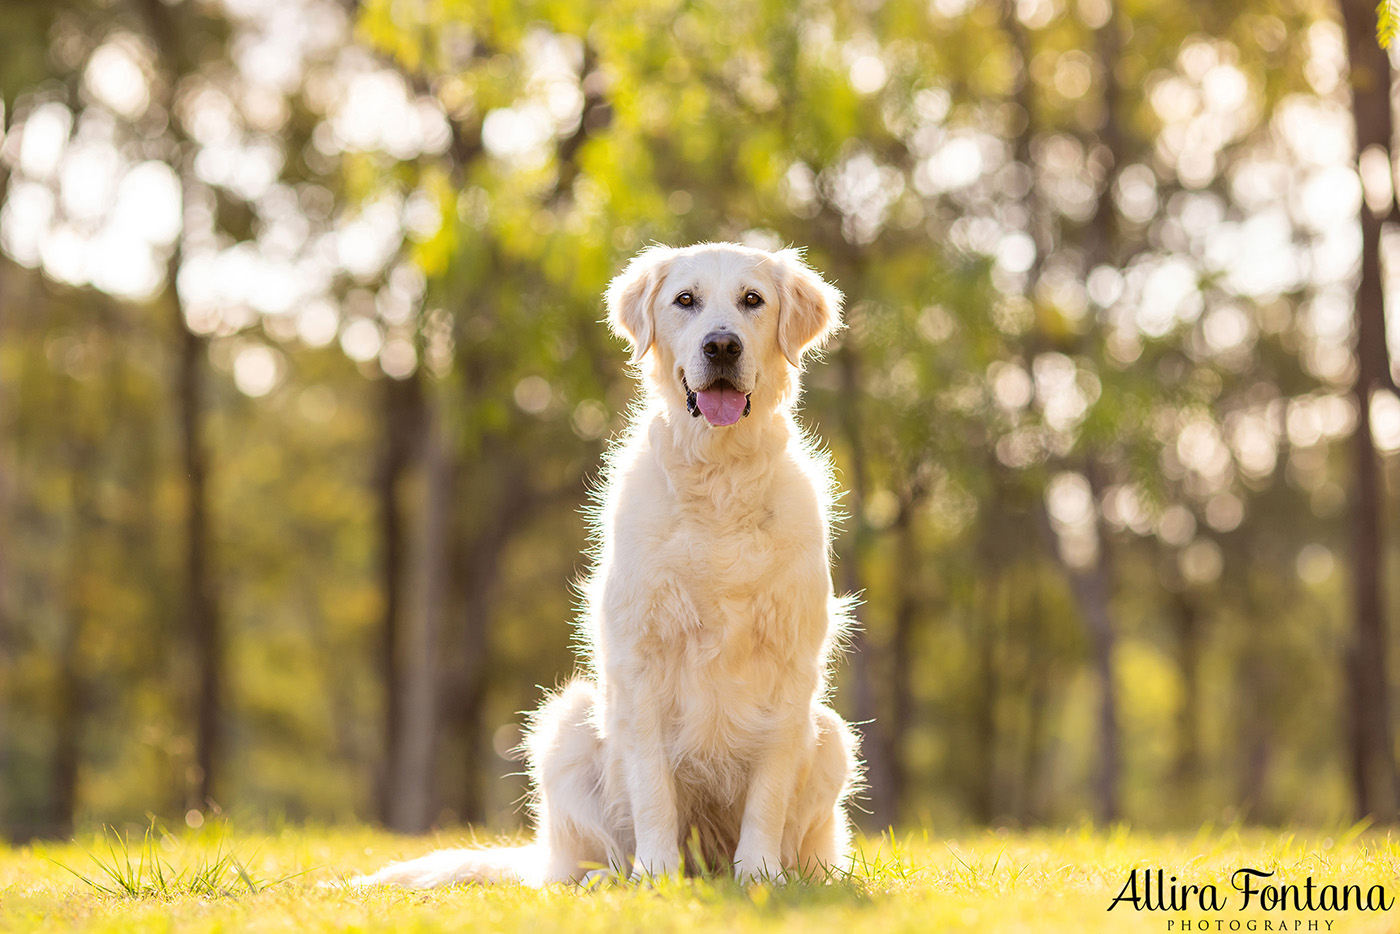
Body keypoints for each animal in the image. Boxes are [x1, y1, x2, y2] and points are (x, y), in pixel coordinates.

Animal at [355, 245, 856, 890]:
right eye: (685, 300)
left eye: (753, 300)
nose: (721, 346)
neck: (719, 479)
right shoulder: (640, 658)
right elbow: (652, 788)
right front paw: (657, 873)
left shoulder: (792, 663)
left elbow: (767, 792)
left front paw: (760, 875)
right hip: (567, 724)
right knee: (586, 857)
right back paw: (612, 877)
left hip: (833, 734)